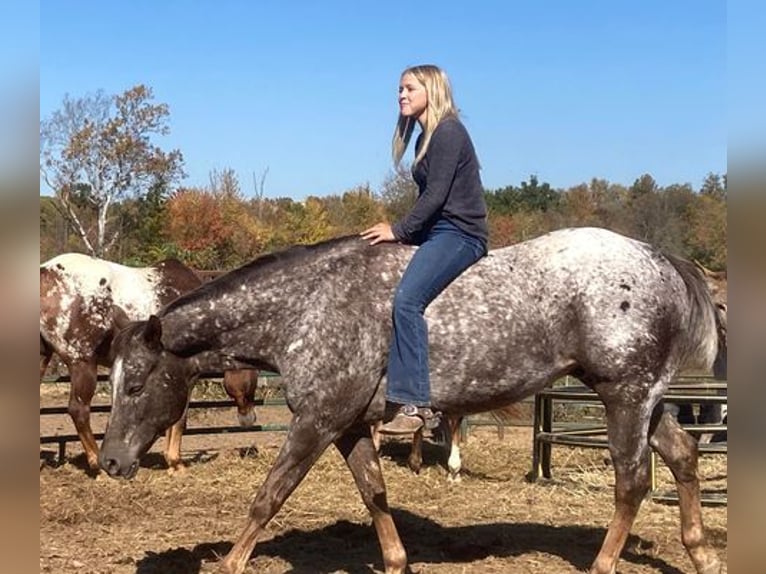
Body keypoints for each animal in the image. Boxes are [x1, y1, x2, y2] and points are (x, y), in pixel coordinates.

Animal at [39, 254, 258, 474]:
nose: (249, 419)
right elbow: (180, 417)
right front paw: (176, 463)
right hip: (82, 364)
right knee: (79, 410)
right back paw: (97, 466)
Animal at [97, 228, 728, 574]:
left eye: (135, 385)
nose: (110, 462)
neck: (306, 305)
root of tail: (663, 261)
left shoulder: (317, 421)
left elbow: (268, 496)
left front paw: (229, 562)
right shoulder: (350, 425)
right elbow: (375, 495)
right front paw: (397, 561)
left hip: (625, 396)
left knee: (632, 482)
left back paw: (603, 563)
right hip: (646, 401)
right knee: (684, 457)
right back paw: (702, 553)